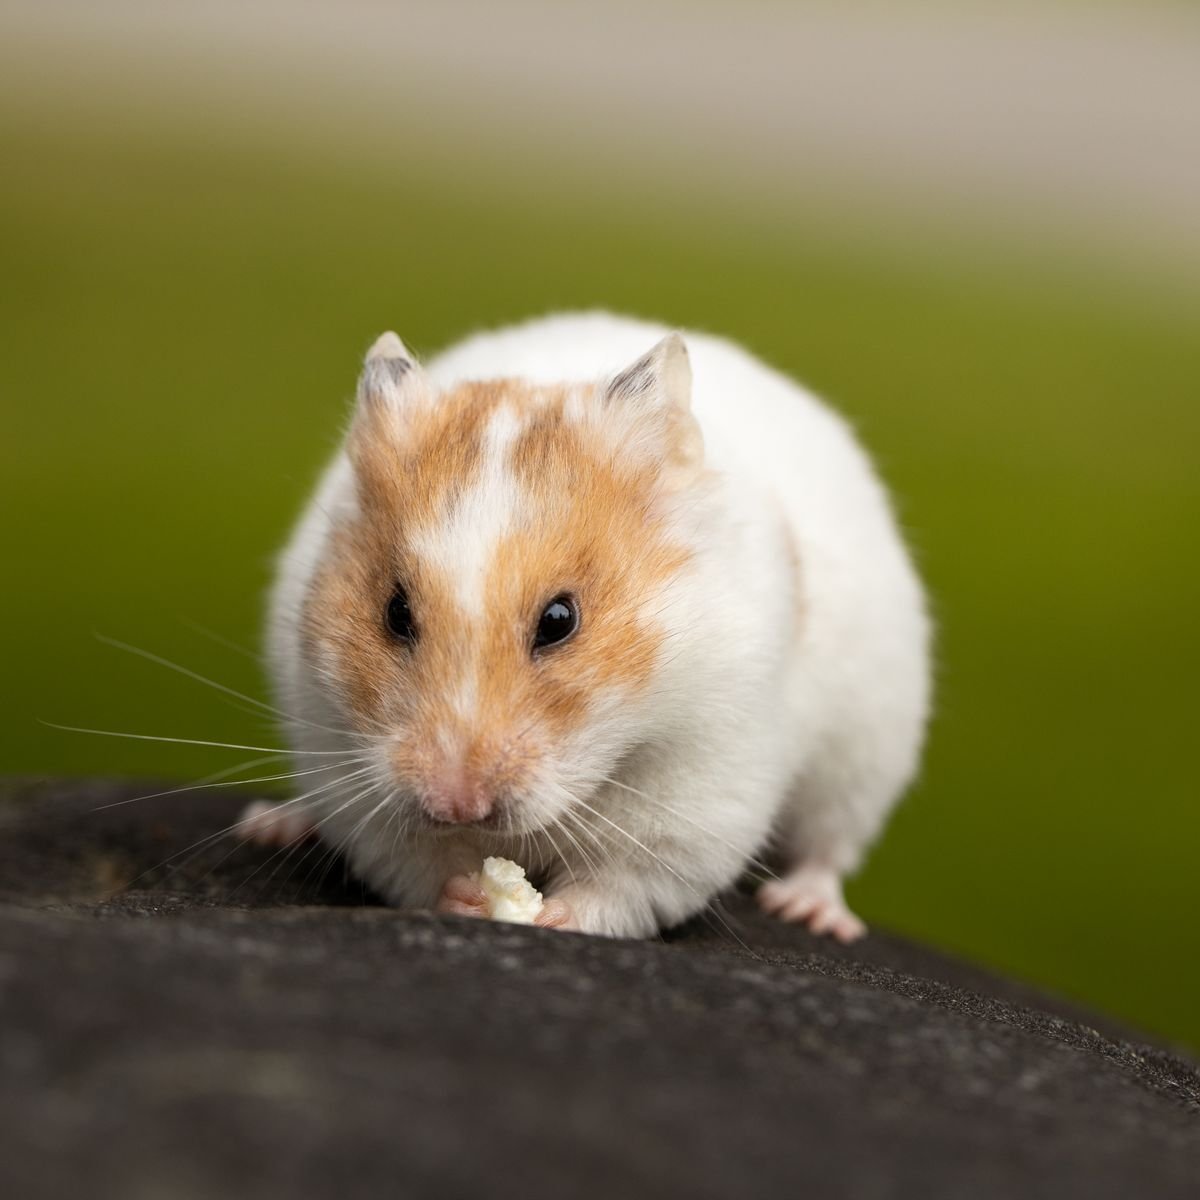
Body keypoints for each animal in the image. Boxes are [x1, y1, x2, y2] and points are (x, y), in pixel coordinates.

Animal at [247, 312, 931, 942]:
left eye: (559, 620)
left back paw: (811, 912)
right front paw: (469, 897)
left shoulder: (697, 797)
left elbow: (621, 885)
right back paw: (272, 824)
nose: (457, 805)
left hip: (867, 754)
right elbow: (416, 863)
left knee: (829, 846)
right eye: (395, 612)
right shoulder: (350, 770)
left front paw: (549, 916)